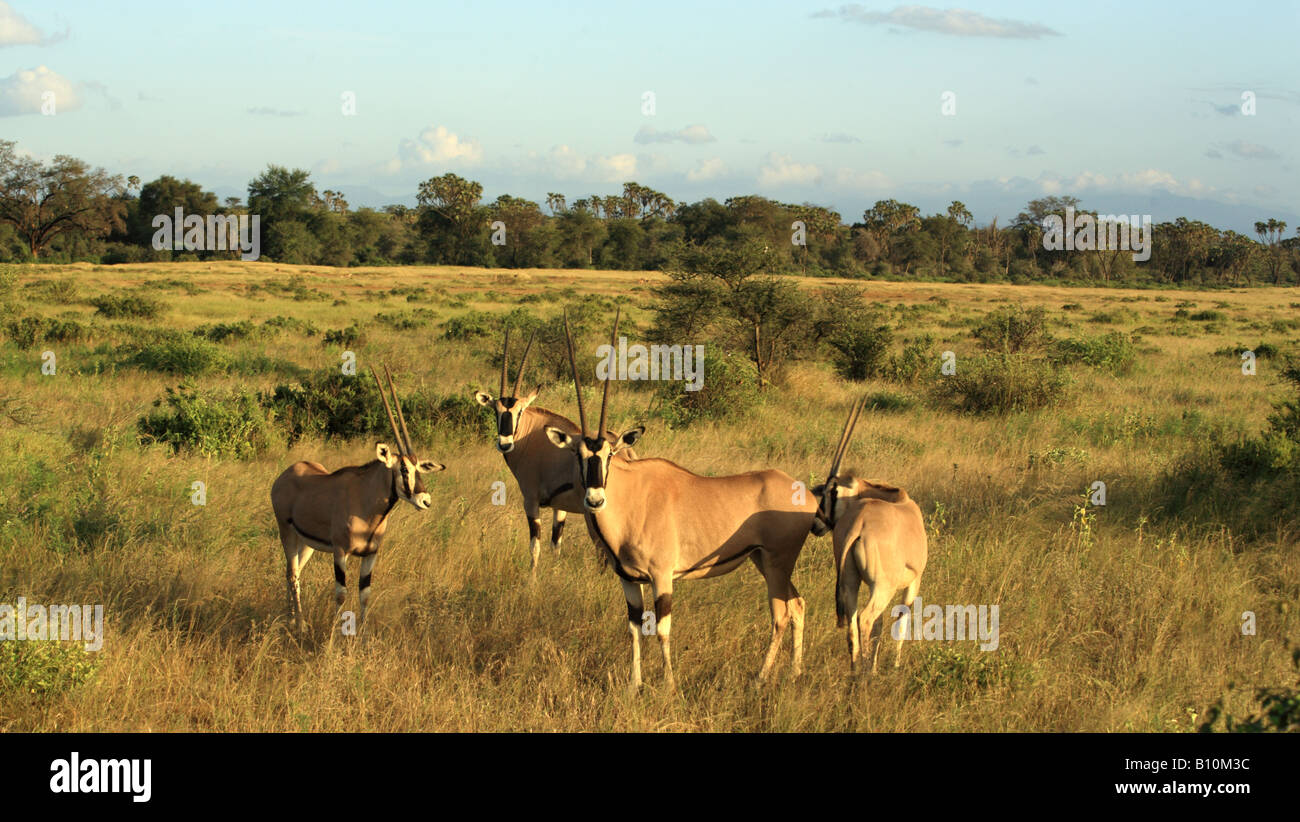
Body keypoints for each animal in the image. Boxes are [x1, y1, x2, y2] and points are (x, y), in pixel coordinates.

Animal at [271, 366, 445, 637]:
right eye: (403, 469)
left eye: (419, 469)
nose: (425, 500)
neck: (367, 504)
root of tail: (286, 475)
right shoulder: (340, 551)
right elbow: (341, 594)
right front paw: (333, 635)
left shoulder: (371, 553)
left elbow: (365, 594)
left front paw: (362, 636)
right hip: (286, 532)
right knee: (292, 574)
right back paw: (298, 623)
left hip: (306, 543)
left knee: (295, 571)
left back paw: (292, 619)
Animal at [474, 327, 635, 574]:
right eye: (496, 411)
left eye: (520, 411)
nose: (505, 444)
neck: (532, 436)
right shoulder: (560, 508)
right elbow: (555, 545)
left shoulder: (530, 500)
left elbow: (535, 546)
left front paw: (532, 578)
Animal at [544, 309, 816, 690]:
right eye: (577, 454)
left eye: (610, 454)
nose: (595, 500)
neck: (630, 500)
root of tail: (805, 494)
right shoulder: (628, 579)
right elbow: (634, 628)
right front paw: (634, 684)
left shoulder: (662, 577)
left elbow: (661, 629)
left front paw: (669, 685)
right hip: (763, 561)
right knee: (798, 605)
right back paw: (795, 671)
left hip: (777, 563)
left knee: (780, 615)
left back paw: (760, 678)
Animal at [811, 396, 928, 674]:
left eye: (833, 493)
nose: (816, 524)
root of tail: (859, 524)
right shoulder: (913, 582)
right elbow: (901, 621)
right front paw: (894, 665)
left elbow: (880, 626)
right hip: (882, 587)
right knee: (865, 619)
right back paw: (865, 673)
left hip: (850, 583)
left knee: (854, 622)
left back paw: (856, 671)